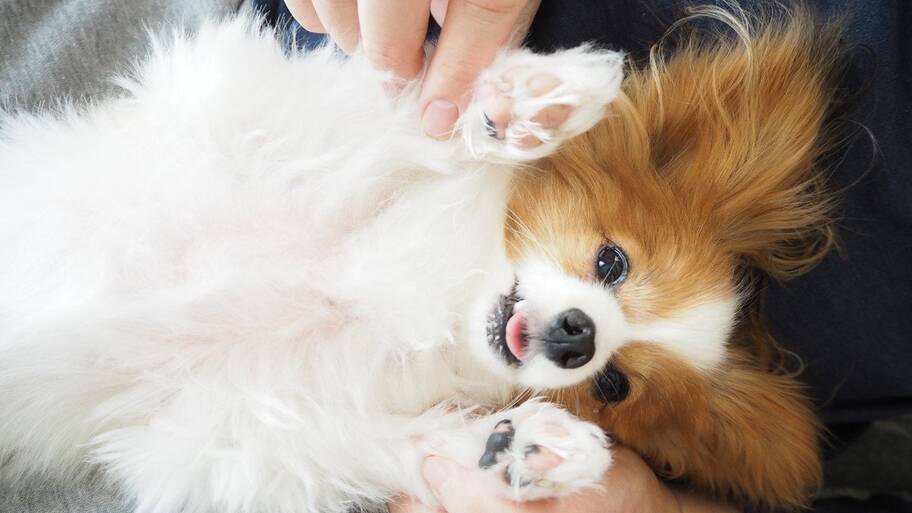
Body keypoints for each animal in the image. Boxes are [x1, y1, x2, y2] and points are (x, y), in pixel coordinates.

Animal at [0, 4, 843, 513]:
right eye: (611, 262)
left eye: (613, 384)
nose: (579, 335)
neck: (428, 293)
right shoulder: (250, 112)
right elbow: (413, 123)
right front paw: (527, 109)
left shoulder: (220, 440)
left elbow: (395, 442)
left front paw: (518, 445)